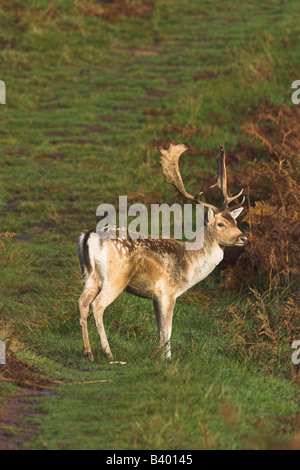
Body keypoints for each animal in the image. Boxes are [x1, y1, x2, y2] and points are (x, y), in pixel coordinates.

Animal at [78, 143, 248, 360]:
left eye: (235, 221)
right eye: (221, 224)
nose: (243, 238)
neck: (190, 264)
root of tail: (89, 235)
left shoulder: (155, 296)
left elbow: (160, 330)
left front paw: (159, 355)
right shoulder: (167, 292)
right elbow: (167, 330)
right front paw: (167, 359)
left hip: (90, 275)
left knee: (82, 303)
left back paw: (88, 352)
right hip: (116, 277)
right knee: (97, 306)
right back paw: (108, 353)